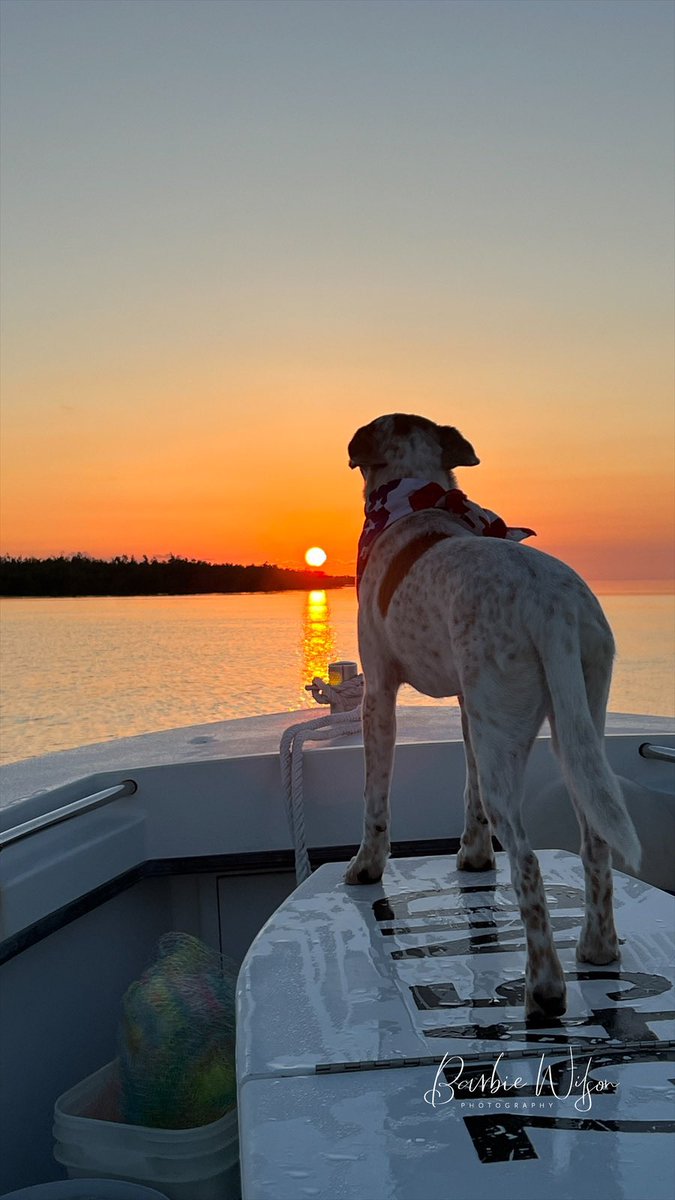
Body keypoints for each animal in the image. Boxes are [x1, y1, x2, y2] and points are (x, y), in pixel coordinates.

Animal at [345, 410, 634, 1012]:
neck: (413, 498)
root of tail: (552, 606)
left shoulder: (378, 692)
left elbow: (375, 800)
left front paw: (366, 867)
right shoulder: (466, 705)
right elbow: (470, 790)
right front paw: (474, 857)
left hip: (508, 734)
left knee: (528, 862)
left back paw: (545, 988)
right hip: (572, 727)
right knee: (595, 841)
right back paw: (597, 950)